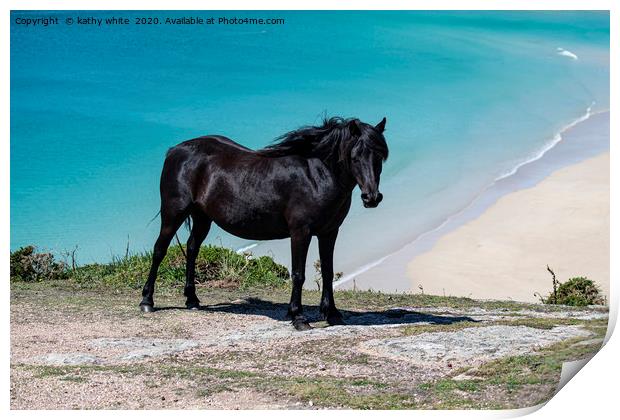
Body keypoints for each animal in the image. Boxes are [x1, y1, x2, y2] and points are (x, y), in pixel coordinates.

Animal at [140, 116, 388, 330]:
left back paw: (192, 299)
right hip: (174, 213)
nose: (371, 198)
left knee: (192, 249)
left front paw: (333, 314)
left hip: (203, 217)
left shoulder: (329, 232)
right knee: (159, 250)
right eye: (355, 157)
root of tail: (175, 150)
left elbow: (327, 272)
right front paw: (298, 317)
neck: (316, 175)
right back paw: (147, 301)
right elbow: (298, 274)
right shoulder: (301, 232)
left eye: (379, 156)